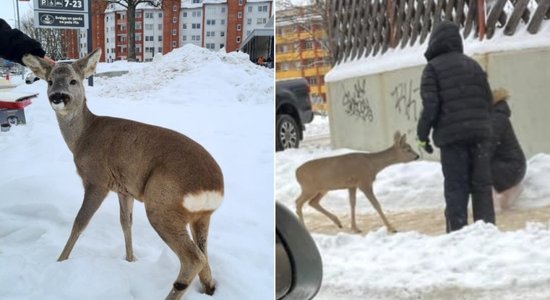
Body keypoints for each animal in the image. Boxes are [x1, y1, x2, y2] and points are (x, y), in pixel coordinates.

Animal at [21, 48, 224, 300]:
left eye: (73, 81)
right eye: (49, 81)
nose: (57, 96)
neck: (82, 137)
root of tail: (214, 187)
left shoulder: (97, 180)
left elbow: (80, 222)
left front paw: (60, 261)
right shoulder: (123, 189)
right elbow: (125, 222)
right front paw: (130, 259)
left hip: (161, 204)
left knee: (193, 258)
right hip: (201, 216)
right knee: (204, 256)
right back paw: (209, 289)